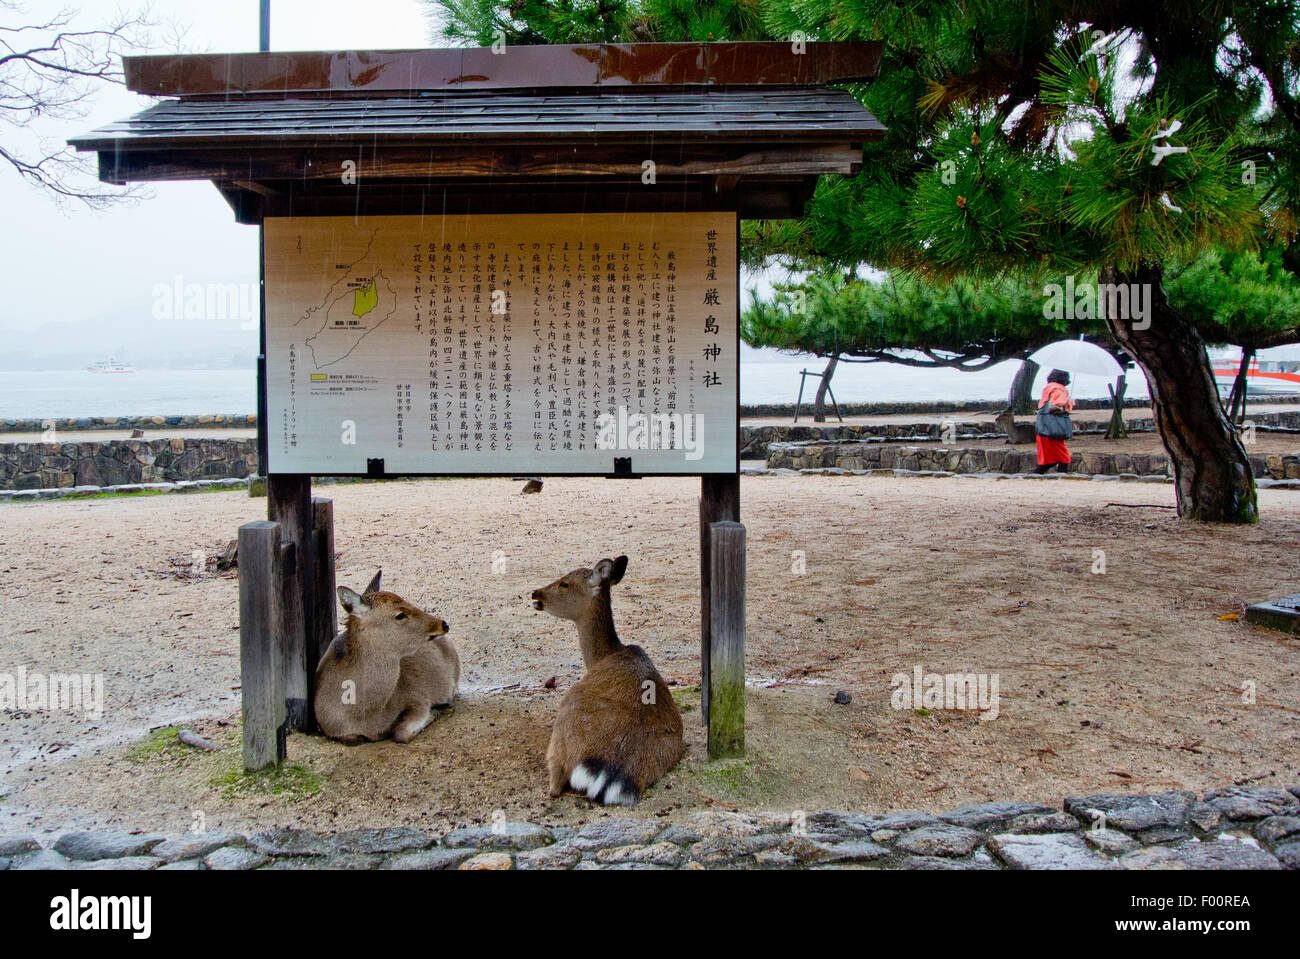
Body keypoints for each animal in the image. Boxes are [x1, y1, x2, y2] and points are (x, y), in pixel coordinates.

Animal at [312, 571, 460, 743]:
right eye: (400, 615)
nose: (443, 624)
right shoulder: (332, 729)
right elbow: (354, 739)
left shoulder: (418, 695)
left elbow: (401, 733)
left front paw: (434, 713)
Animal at [530, 548, 686, 805]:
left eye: (564, 583)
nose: (536, 593)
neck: (604, 655)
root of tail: (610, 770)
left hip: (561, 735)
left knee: (554, 784)